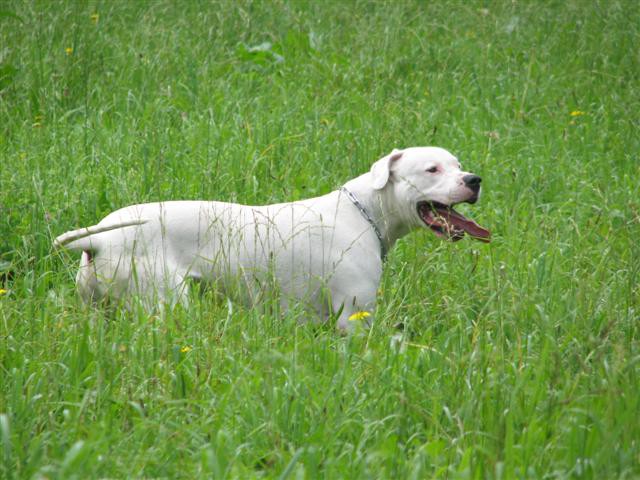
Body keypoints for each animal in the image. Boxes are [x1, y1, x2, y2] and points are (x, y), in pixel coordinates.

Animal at [57, 146, 492, 332]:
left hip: (99, 311)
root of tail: (96, 242)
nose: (474, 180)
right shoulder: (353, 316)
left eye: (457, 164)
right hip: (166, 303)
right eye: (432, 169)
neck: (363, 211)